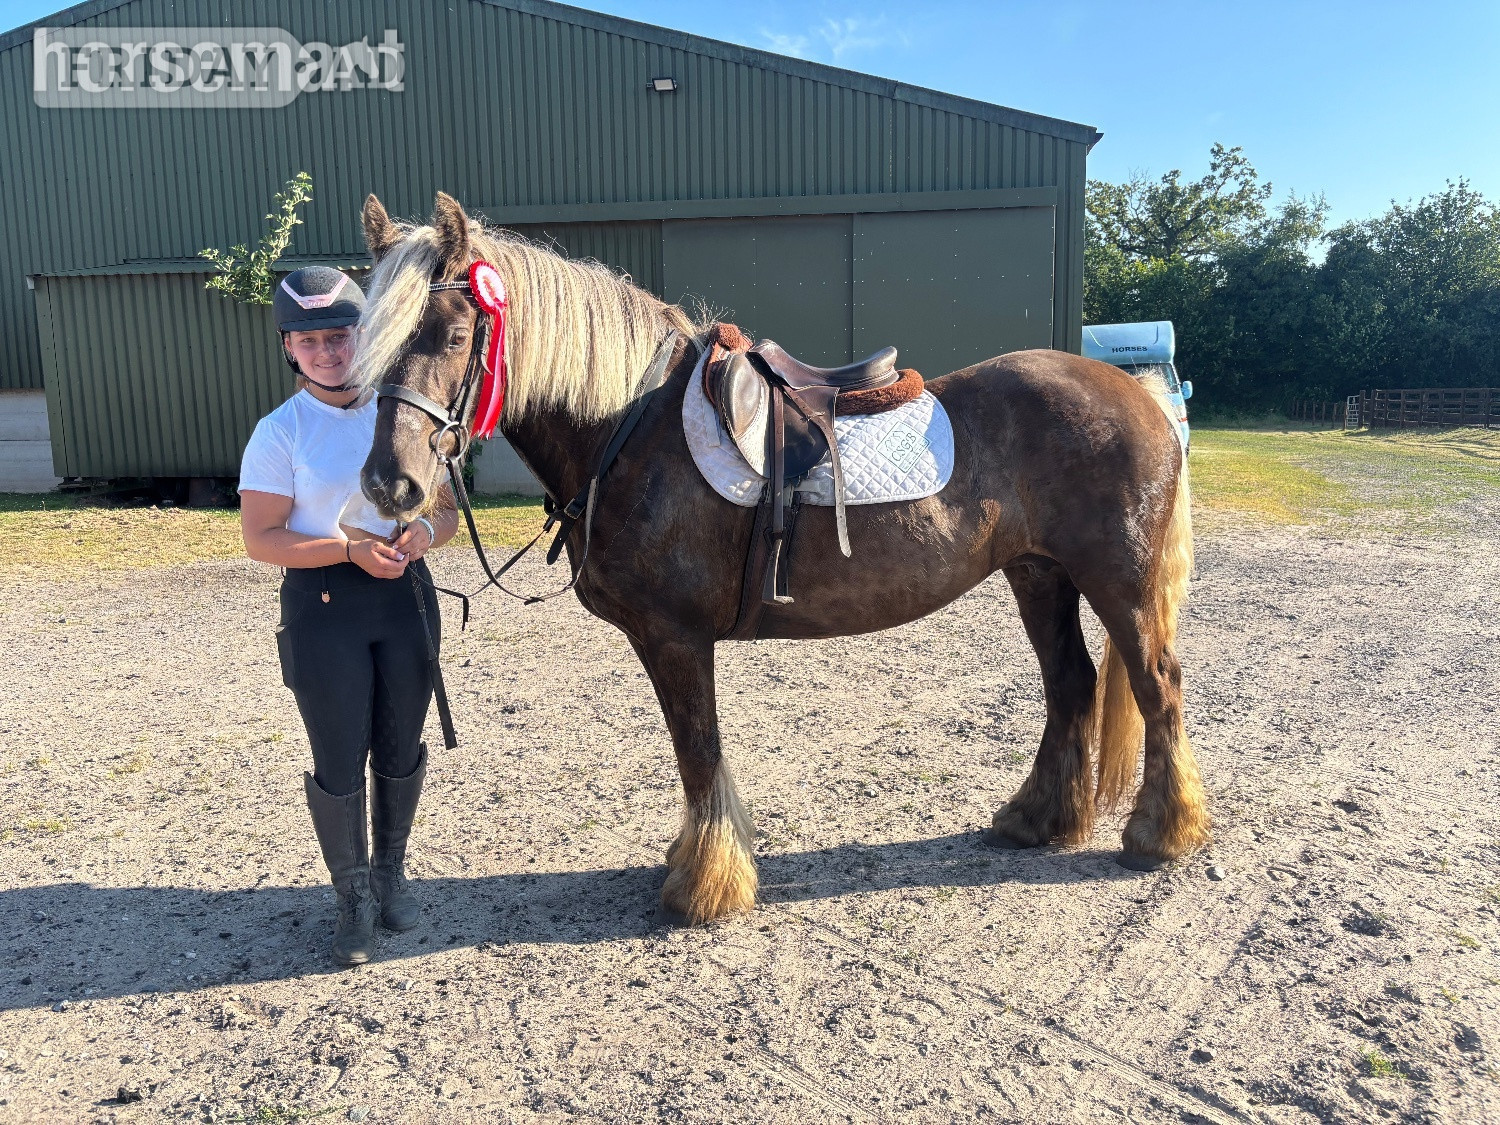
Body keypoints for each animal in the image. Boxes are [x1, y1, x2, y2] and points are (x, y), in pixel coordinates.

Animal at [354, 192, 1209, 925]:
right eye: (372, 339)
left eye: (454, 335)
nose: (390, 483)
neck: (631, 427)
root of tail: (1143, 397)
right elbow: (694, 753)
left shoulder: (676, 638)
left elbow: (698, 751)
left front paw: (706, 884)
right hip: (1039, 574)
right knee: (1072, 683)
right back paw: (1038, 819)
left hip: (1118, 582)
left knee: (1156, 684)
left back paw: (1161, 834)